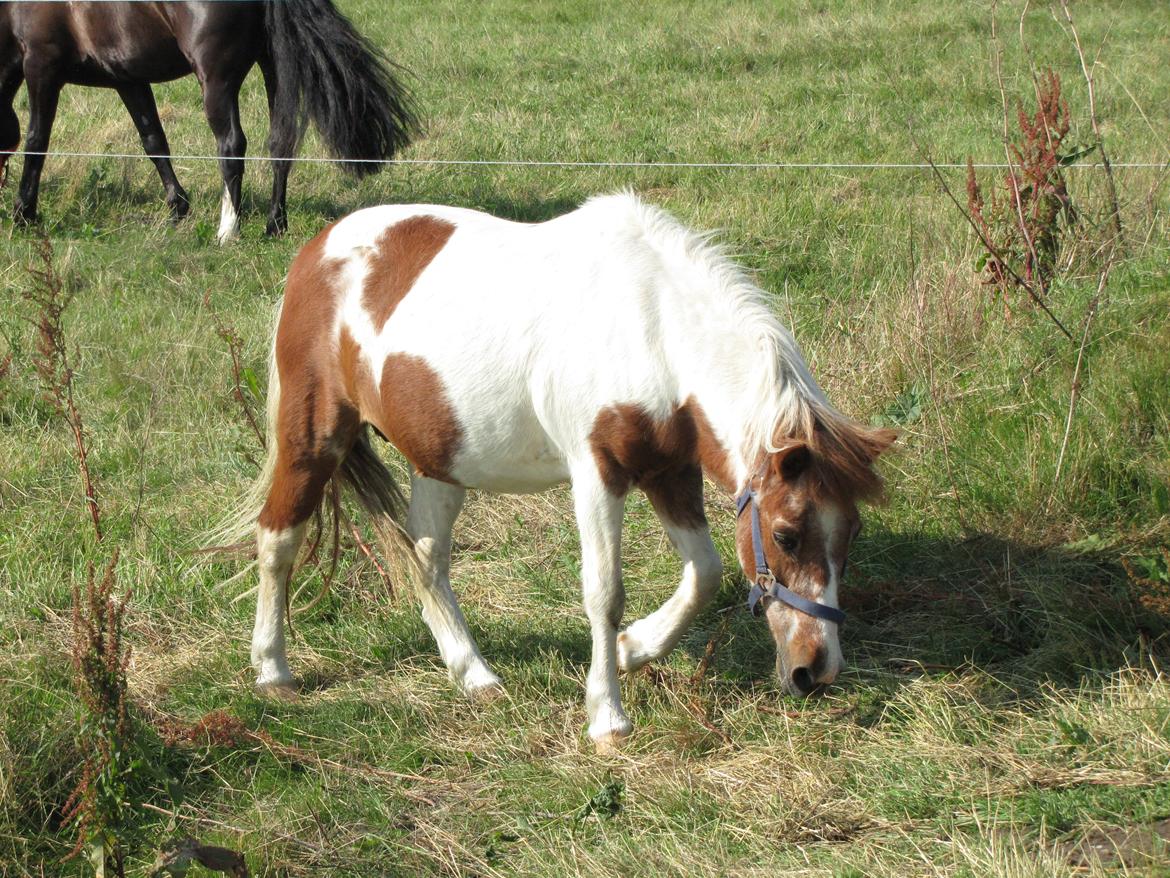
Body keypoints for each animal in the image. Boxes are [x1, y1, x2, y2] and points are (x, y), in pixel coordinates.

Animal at [0, 0, 418, 241]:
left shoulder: (42, 65)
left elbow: (37, 140)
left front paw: (24, 213)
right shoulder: (128, 79)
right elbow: (154, 140)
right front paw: (177, 207)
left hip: (216, 80)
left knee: (232, 146)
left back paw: (227, 230)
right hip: (274, 67)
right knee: (280, 143)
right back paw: (274, 224)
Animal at [221, 195, 893, 753]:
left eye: (853, 533)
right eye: (785, 535)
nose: (817, 670)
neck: (651, 326)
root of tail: (316, 248)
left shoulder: (670, 470)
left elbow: (704, 572)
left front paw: (634, 650)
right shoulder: (597, 474)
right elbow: (604, 593)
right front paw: (608, 717)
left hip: (439, 462)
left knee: (428, 559)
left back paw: (474, 675)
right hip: (313, 439)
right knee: (278, 539)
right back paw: (273, 670)